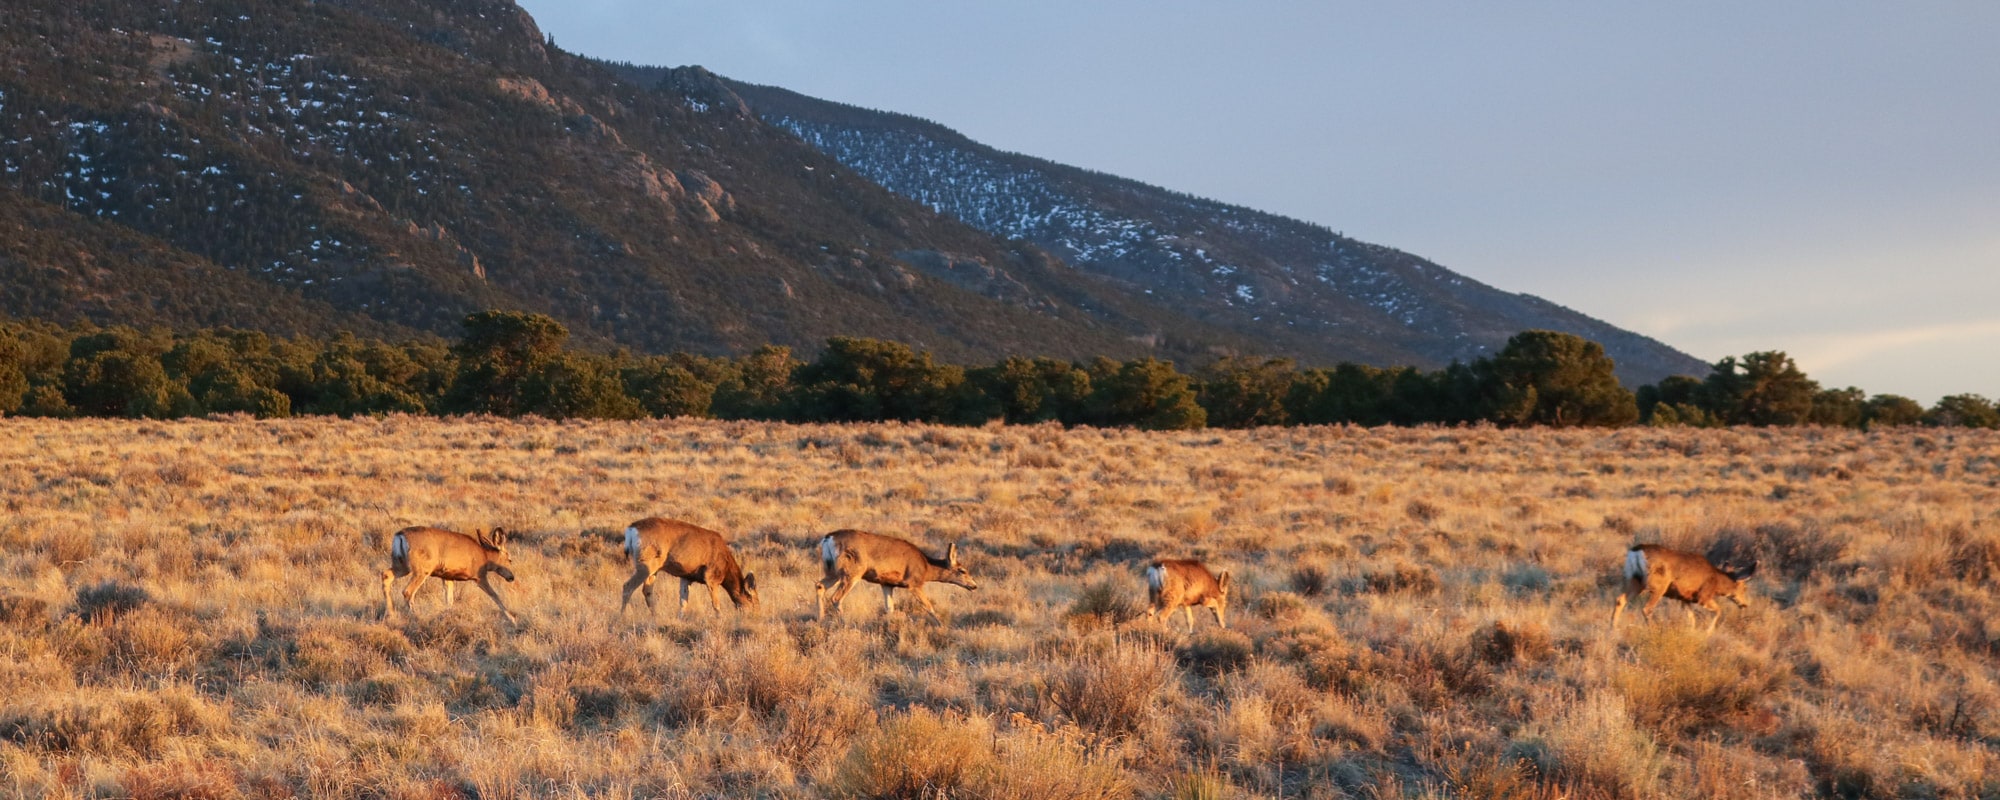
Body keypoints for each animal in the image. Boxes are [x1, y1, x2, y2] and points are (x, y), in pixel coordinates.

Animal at [376, 528, 516, 628]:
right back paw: (415, 617)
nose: (512, 577)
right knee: (407, 591)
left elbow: (449, 599)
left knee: (386, 575)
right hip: (422, 569)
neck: (485, 557)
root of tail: (399, 536)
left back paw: (391, 615)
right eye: (510, 559)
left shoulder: (448, 576)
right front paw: (512, 619)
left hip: (402, 565)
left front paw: (448, 616)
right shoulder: (480, 576)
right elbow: (495, 595)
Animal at [616, 520, 756, 620]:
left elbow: (683, 601)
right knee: (627, 586)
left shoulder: (686, 576)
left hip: (653, 569)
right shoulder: (711, 576)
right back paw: (621, 617)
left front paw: (680, 619)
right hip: (645, 564)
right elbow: (715, 603)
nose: (756, 614)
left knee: (647, 590)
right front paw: (720, 619)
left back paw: (655, 616)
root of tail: (631, 530)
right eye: (751, 598)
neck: (726, 566)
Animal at [808, 528, 972, 620]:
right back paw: (843, 622)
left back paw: (820, 620)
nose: (974, 586)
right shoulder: (914, 583)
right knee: (836, 598)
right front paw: (941, 625)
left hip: (833, 571)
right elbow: (928, 606)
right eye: (962, 570)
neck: (926, 567)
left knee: (819, 585)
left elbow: (889, 608)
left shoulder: (886, 583)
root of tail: (828, 538)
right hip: (852, 571)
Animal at [1616, 540, 1760, 636]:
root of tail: (1636, 552)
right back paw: (1654, 631)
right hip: (1658, 585)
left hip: (1634, 580)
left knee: (1620, 600)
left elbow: (1692, 619)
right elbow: (1719, 610)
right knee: (1647, 608)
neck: (1717, 581)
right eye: (1744, 588)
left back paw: (1613, 629)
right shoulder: (1703, 596)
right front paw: (1708, 632)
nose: (1745, 604)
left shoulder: (1685, 598)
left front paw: (1692, 632)